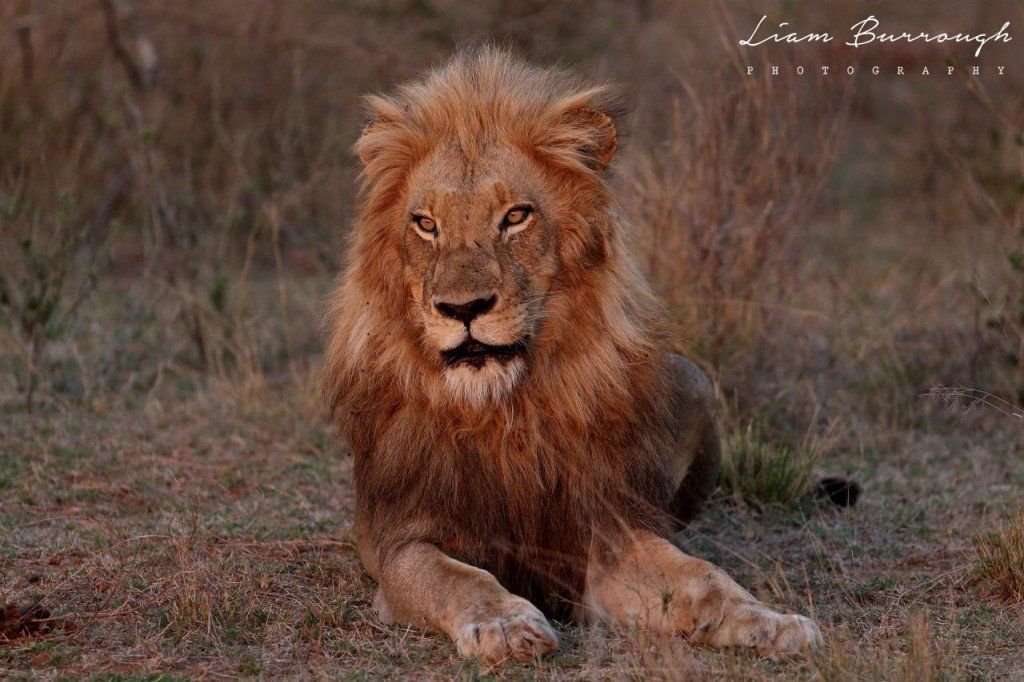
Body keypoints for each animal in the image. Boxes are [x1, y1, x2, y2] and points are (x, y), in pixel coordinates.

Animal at [327, 46, 823, 659]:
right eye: (425, 224)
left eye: (516, 216)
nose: (463, 308)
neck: (503, 413)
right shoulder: (398, 539)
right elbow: (455, 577)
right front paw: (505, 624)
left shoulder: (602, 532)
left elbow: (700, 577)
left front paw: (771, 621)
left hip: (693, 381)